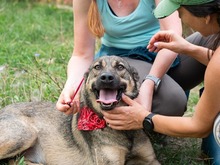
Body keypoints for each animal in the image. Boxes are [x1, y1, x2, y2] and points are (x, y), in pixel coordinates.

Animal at [0, 55, 159, 165]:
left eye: (120, 67)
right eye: (97, 67)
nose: (106, 77)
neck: (125, 132)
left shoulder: (150, 160)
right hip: (25, 134)